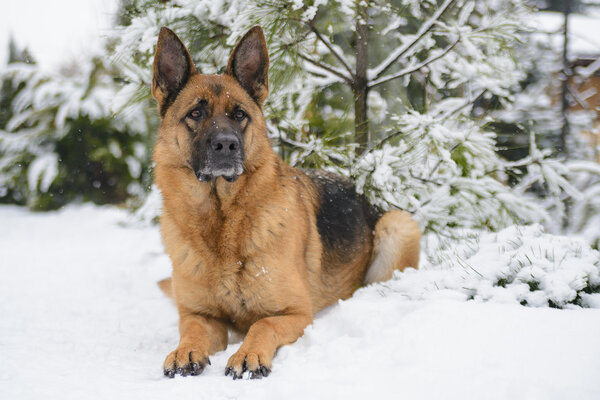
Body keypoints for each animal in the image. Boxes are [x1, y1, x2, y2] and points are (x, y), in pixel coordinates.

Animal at [152, 26, 420, 380]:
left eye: (239, 115)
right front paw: (184, 351)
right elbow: (191, 330)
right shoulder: (200, 314)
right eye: (195, 113)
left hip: (397, 224)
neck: (222, 222)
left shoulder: (296, 314)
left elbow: (262, 324)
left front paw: (248, 354)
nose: (226, 145)